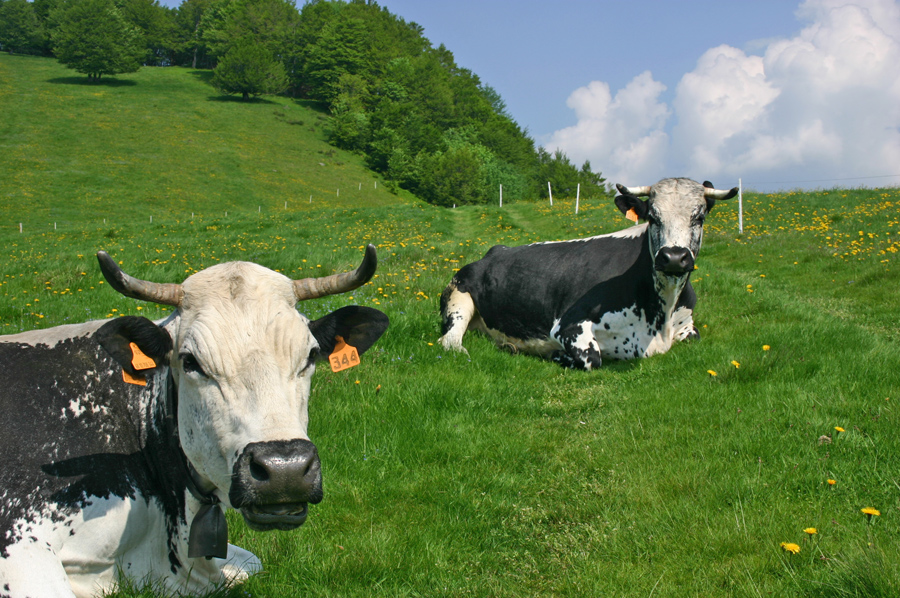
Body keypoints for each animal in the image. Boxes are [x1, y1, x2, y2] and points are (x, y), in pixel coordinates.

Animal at [438, 177, 740, 370]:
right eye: (653, 217)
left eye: (699, 217)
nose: (674, 257)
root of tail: (494, 251)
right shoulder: (568, 326)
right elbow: (592, 358)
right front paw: (555, 356)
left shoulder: (686, 324)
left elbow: (694, 336)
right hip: (458, 296)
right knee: (449, 341)